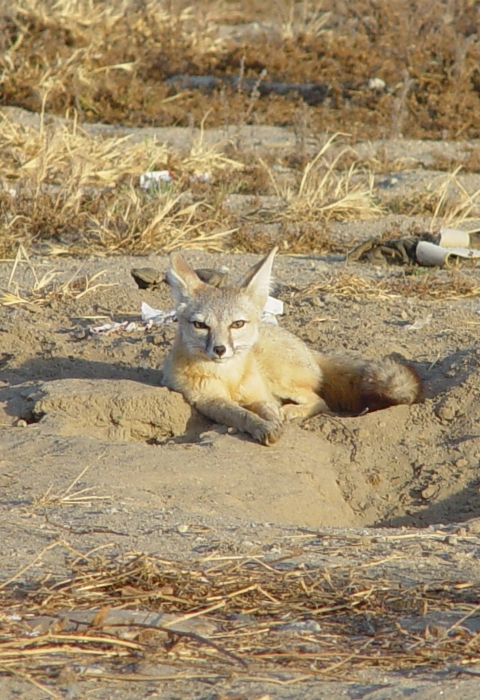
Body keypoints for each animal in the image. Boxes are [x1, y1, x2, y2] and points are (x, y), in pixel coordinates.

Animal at [162, 248, 422, 445]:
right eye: (200, 325)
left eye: (237, 324)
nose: (219, 350)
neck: (230, 378)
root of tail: (309, 350)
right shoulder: (209, 401)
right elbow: (241, 414)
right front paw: (261, 426)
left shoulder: (261, 394)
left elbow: (268, 409)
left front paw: (274, 420)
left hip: (281, 380)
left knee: (319, 401)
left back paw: (290, 411)